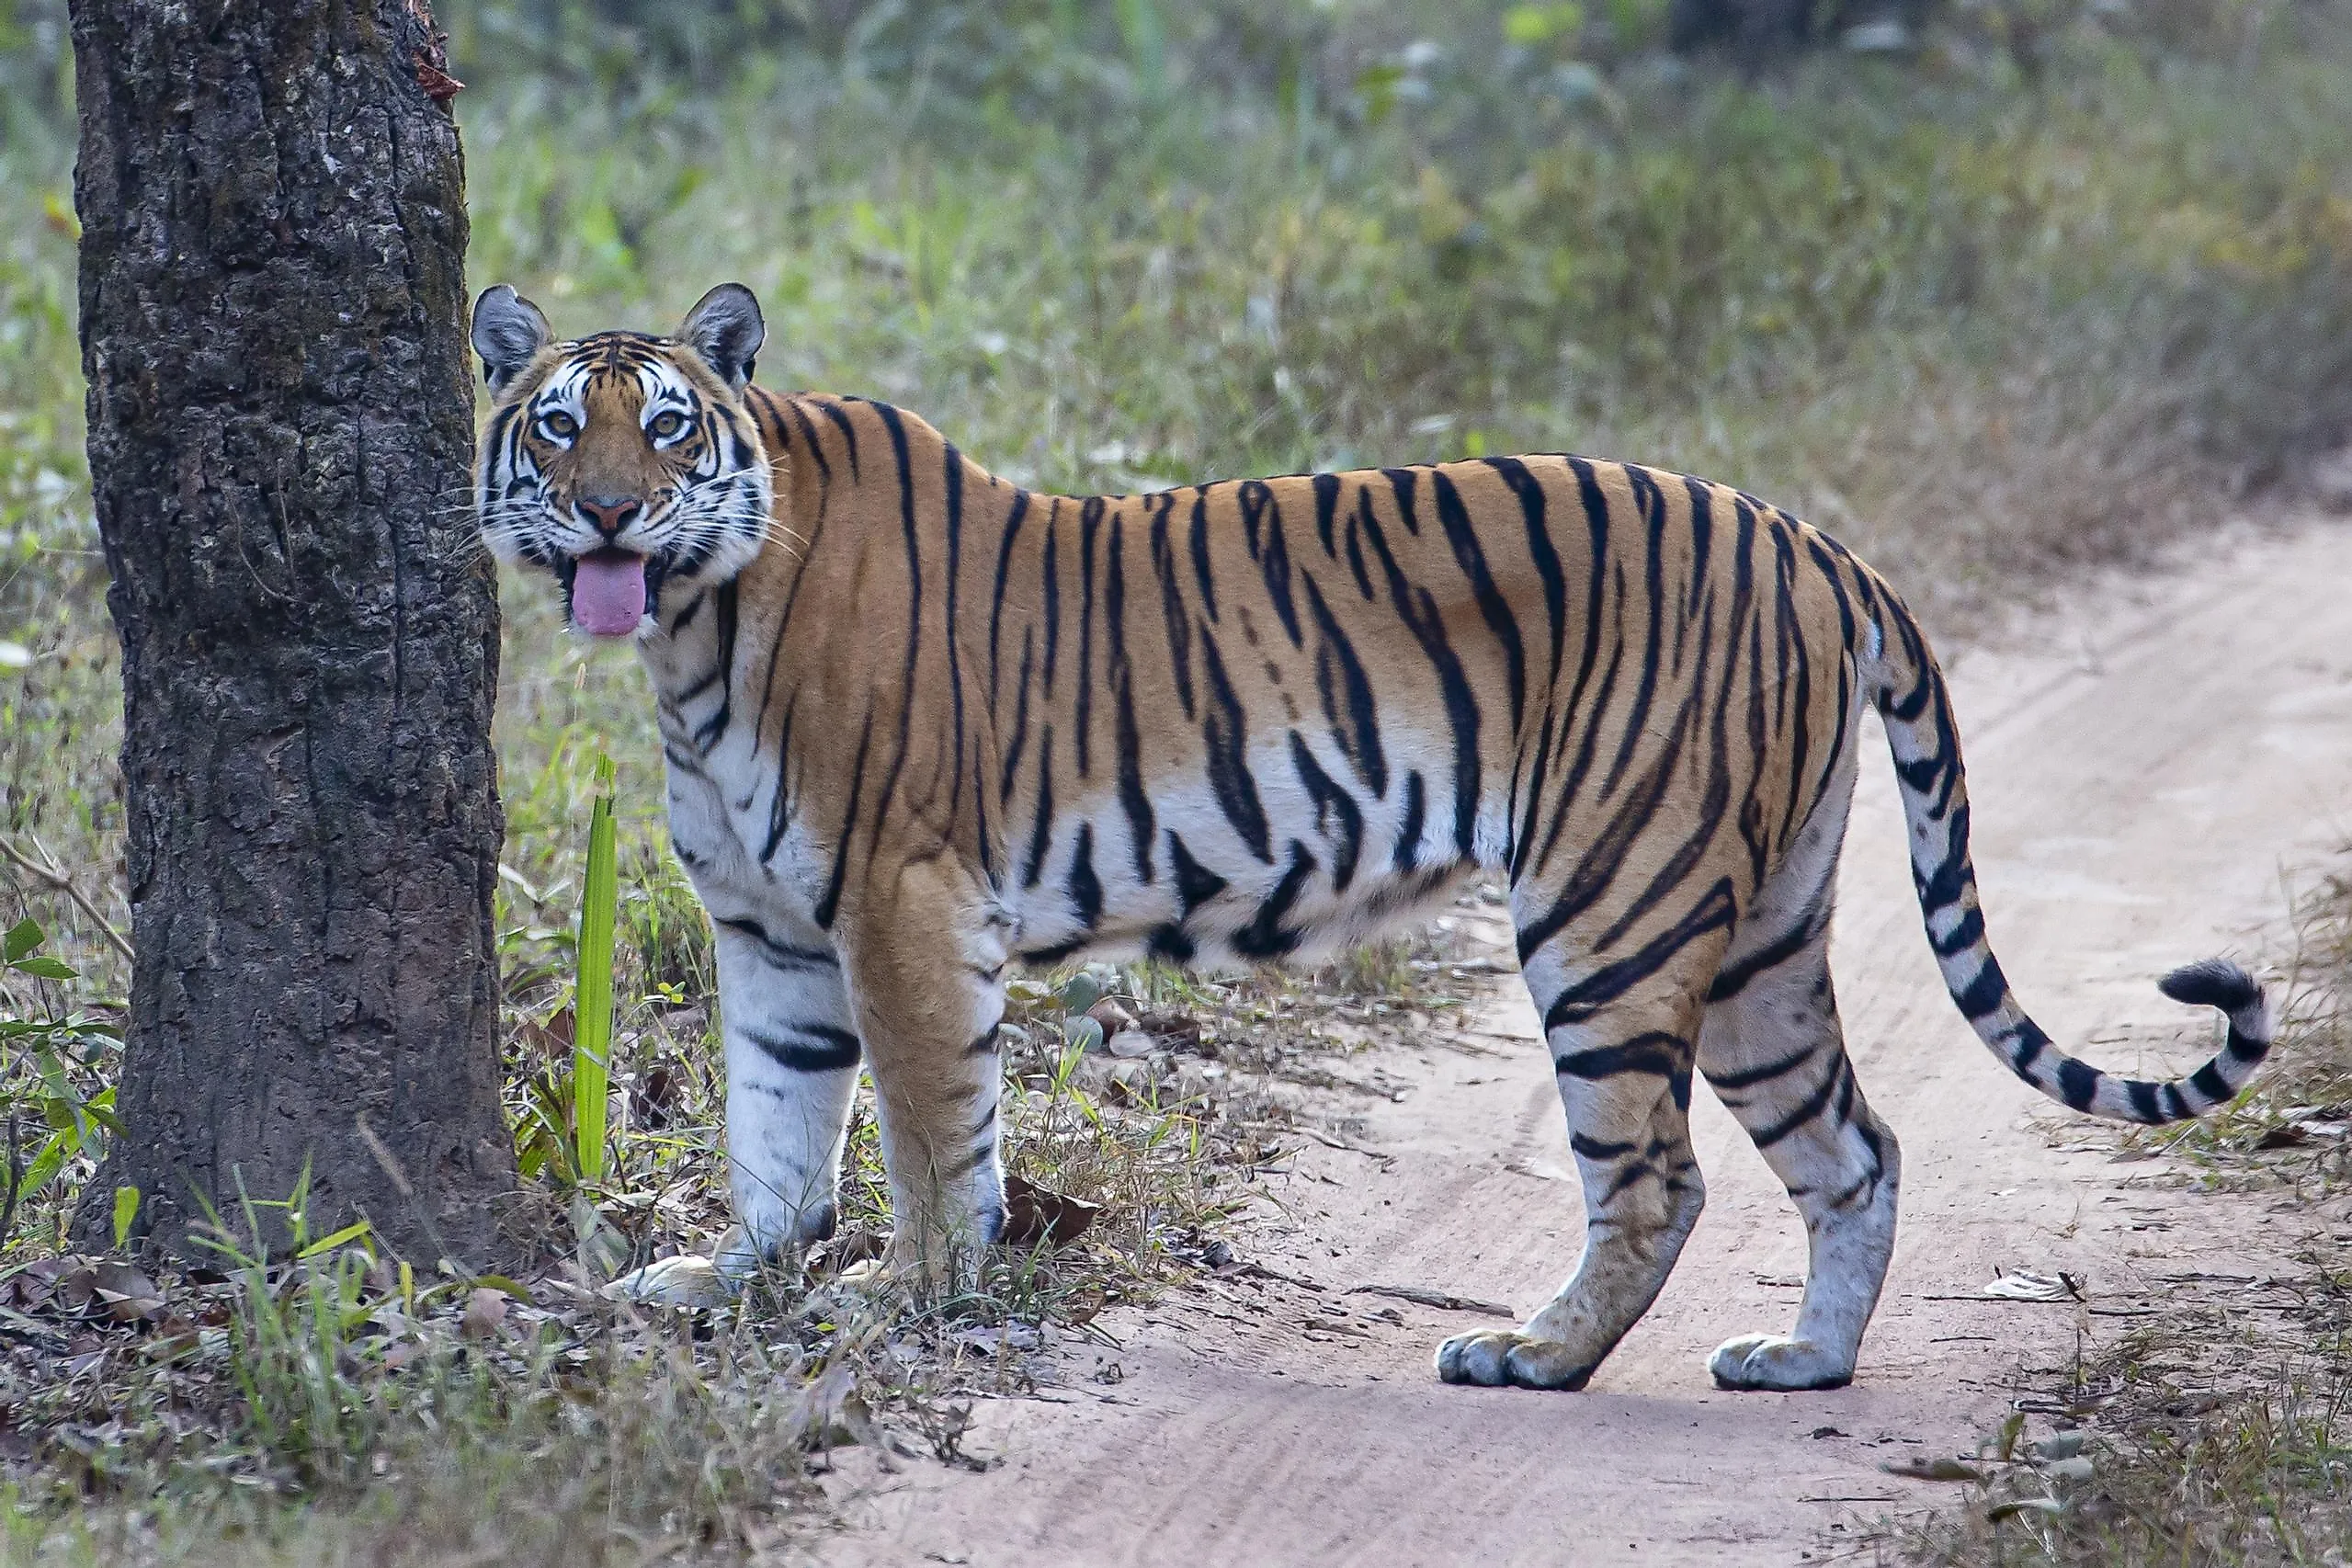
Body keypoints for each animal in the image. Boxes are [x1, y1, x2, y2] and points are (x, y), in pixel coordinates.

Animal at [468, 285, 2267, 1401]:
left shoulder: (899, 906)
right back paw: (1797, 1362)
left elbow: (923, 1130)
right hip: (1761, 927)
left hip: (1610, 906)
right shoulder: (772, 934)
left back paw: (1530, 1356)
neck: (694, 632)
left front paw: (907, 1290)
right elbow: (775, 1127)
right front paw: (726, 1280)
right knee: (1855, 1147)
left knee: (1657, 1173)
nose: (612, 511)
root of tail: (1802, 533)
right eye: (557, 426)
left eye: (669, 428)